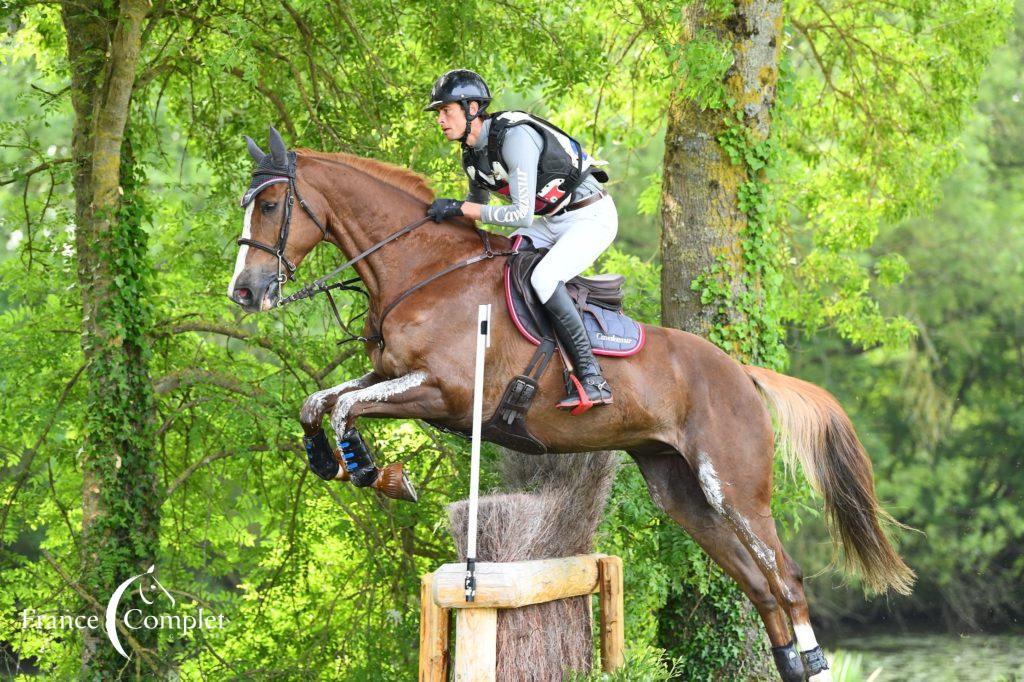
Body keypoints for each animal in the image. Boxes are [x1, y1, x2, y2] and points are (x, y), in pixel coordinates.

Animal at [230, 127, 913, 679]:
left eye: (270, 205)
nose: (244, 293)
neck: (424, 272)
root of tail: (740, 373)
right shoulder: (389, 375)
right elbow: (320, 402)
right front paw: (334, 461)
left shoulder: (443, 393)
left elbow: (346, 408)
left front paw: (380, 474)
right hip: (681, 491)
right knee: (760, 590)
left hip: (735, 489)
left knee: (787, 583)